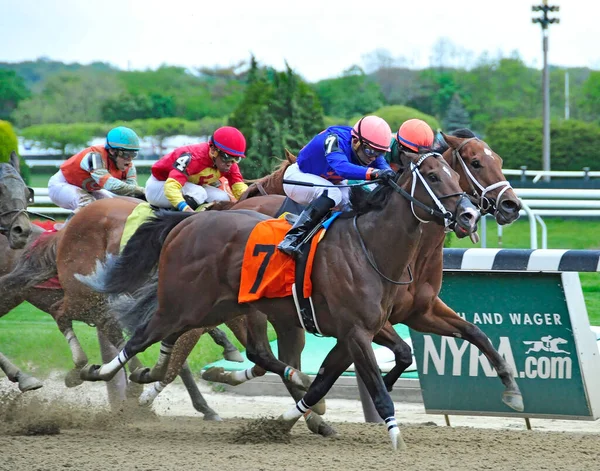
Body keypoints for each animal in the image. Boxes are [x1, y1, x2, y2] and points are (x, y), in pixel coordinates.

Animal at [78, 152, 478, 450]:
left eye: (455, 176)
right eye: (434, 176)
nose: (470, 214)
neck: (369, 245)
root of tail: (187, 222)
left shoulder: (363, 329)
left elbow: (370, 364)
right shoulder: (356, 331)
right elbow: (376, 388)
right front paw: (395, 435)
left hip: (218, 307)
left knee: (225, 347)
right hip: (185, 303)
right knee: (142, 336)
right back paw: (97, 372)